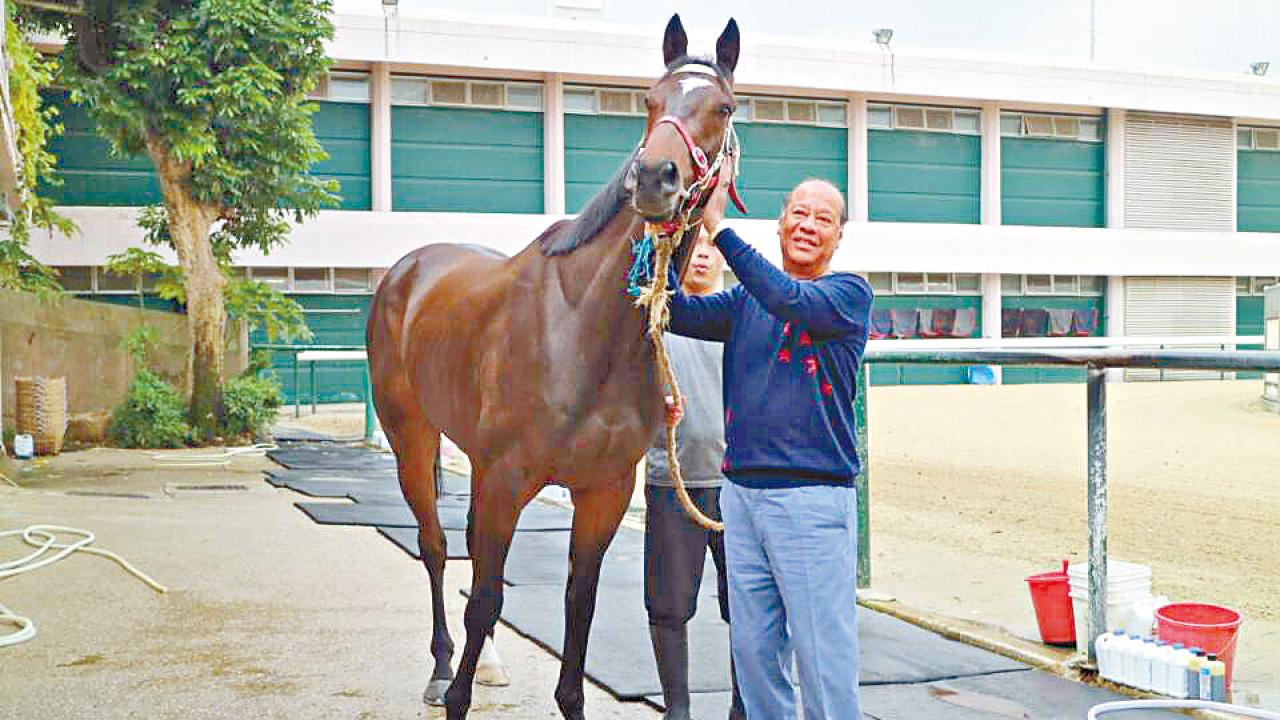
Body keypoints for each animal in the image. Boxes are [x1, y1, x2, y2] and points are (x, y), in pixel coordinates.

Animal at [367, 14, 742, 720]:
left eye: (724, 108)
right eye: (649, 100)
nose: (654, 178)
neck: (582, 333)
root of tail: (407, 269)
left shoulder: (602, 492)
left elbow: (578, 602)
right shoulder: (507, 479)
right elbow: (487, 595)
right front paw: (456, 694)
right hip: (412, 437)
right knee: (435, 546)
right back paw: (442, 666)